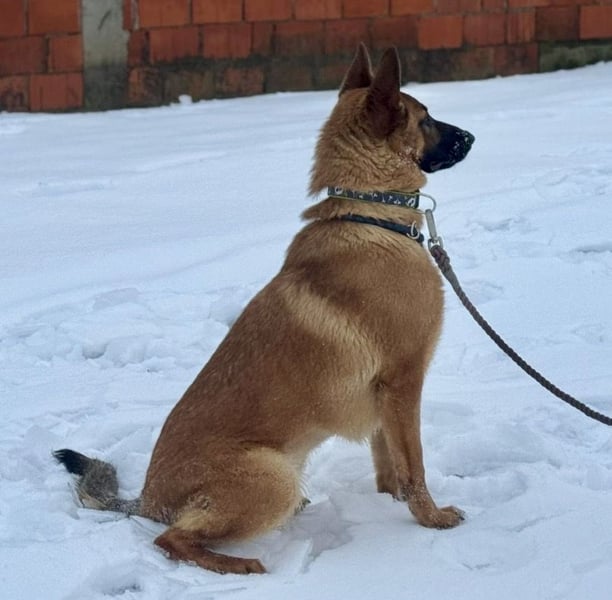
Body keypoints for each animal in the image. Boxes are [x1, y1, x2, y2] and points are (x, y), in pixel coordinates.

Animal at [55, 44, 474, 575]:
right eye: (426, 119)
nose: (471, 137)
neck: (369, 214)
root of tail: (148, 499)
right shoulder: (403, 382)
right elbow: (414, 464)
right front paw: (430, 518)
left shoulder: (385, 396)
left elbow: (389, 461)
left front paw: (391, 502)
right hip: (273, 478)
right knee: (171, 540)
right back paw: (241, 566)